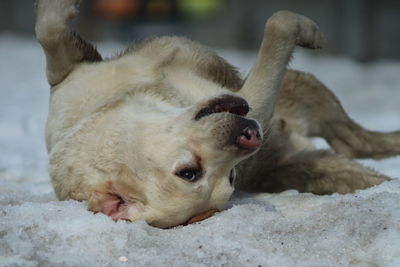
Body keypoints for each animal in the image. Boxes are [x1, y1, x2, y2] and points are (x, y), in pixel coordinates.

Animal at [35, 0, 400, 230]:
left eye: (231, 177)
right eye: (191, 173)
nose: (252, 136)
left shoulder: (70, 72)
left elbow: (48, 28)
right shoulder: (255, 101)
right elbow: (279, 24)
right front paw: (309, 30)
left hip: (304, 90)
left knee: (355, 137)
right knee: (353, 146)